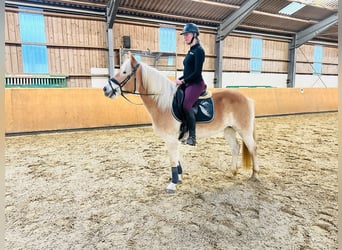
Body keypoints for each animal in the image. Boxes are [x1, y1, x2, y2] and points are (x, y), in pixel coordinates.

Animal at [102, 53, 260, 193]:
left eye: (124, 72)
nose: (105, 89)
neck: (164, 103)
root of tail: (247, 98)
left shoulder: (171, 139)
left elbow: (173, 161)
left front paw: (172, 184)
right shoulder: (171, 140)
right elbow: (176, 160)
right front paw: (179, 178)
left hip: (244, 130)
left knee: (253, 148)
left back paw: (255, 175)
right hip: (229, 130)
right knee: (235, 148)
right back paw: (232, 172)